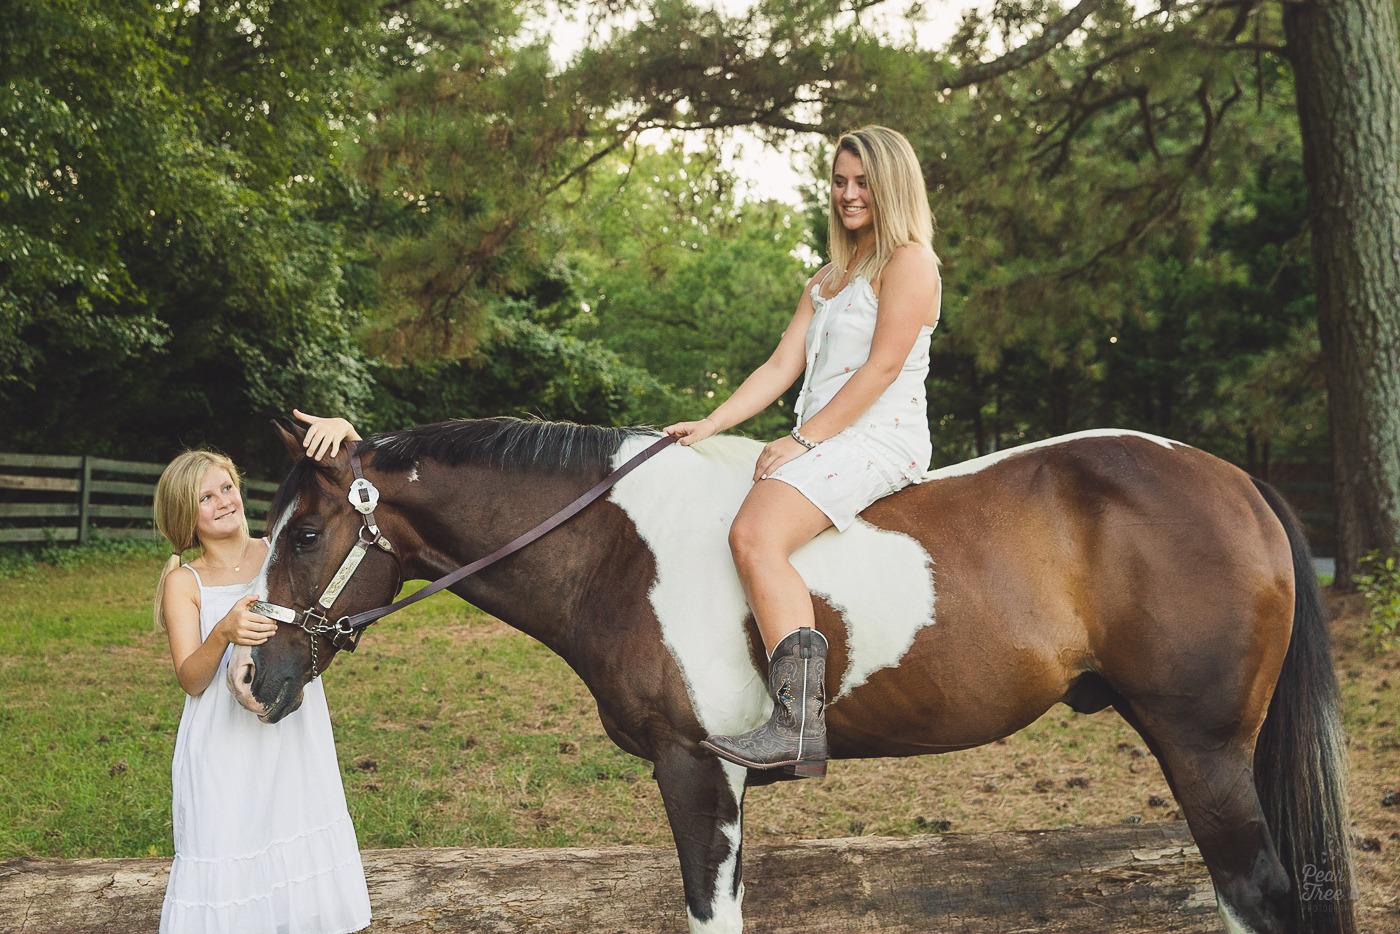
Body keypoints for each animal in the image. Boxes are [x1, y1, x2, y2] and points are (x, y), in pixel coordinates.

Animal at [229, 420, 1355, 929]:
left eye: (308, 533)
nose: (253, 676)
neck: (617, 548)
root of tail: (1233, 478)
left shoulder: (696, 770)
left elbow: (709, 911)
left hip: (1203, 751)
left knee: (1253, 893)